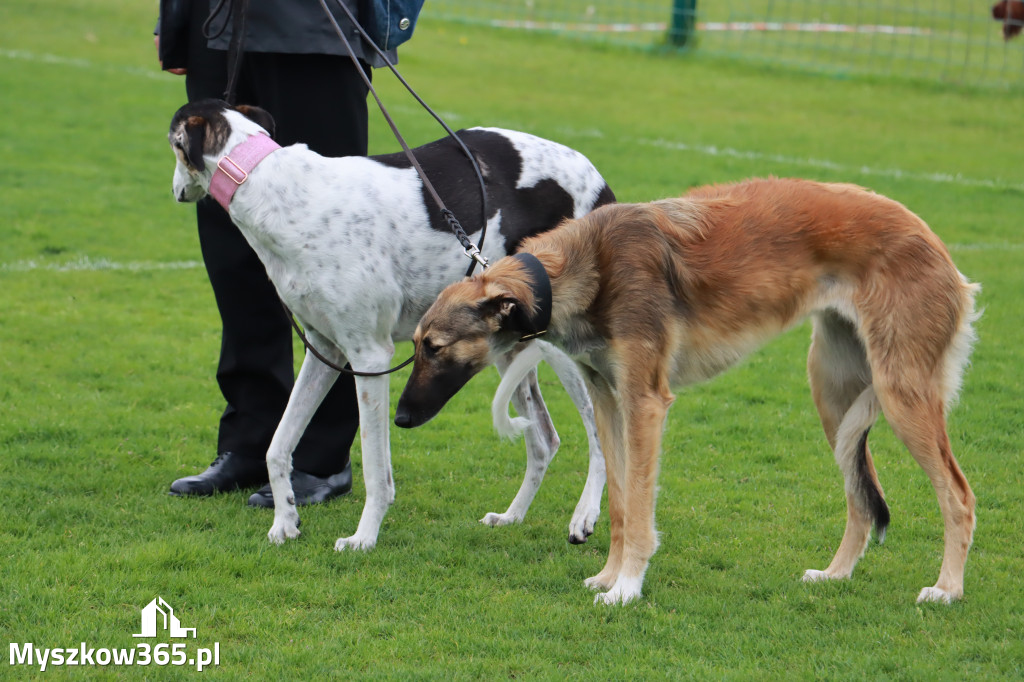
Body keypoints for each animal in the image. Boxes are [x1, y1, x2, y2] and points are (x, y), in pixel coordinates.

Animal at [168, 98, 610, 548]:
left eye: (173, 145)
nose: (174, 190)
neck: (276, 190)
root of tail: (594, 174)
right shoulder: (325, 349)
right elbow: (277, 446)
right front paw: (284, 521)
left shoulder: (369, 356)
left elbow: (375, 469)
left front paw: (363, 538)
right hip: (508, 343)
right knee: (543, 439)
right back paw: (511, 516)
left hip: (565, 343)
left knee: (599, 429)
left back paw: (584, 516)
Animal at [395, 178, 978, 602]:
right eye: (417, 344)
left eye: (435, 347)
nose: (400, 419)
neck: (586, 266)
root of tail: (939, 249)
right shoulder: (608, 396)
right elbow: (621, 504)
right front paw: (607, 577)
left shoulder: (646, 400)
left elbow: (639, 505)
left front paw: (626, 589)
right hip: (833, 393)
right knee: (860, 496)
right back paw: (836, 576)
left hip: (902, 393)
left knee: (959, 495)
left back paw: (947, 589)